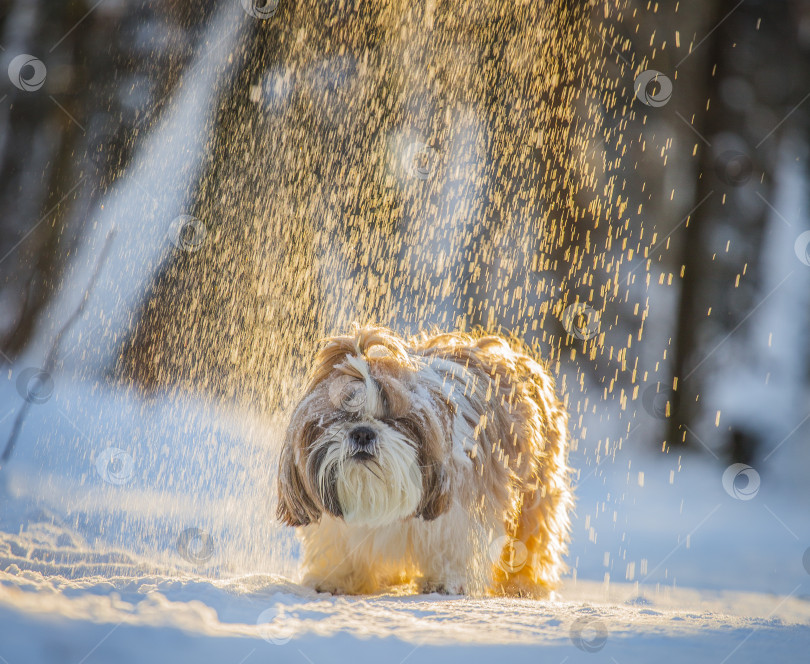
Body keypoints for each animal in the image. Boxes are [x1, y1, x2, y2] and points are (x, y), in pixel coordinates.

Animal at [278, 326, 576, 596]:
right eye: (340, 417)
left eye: (396, 420)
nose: (362, 432)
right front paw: (338, 579)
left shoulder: (461, 510)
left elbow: (453, 547)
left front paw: (445, 581)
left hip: (535, 492)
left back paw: (523, 585)